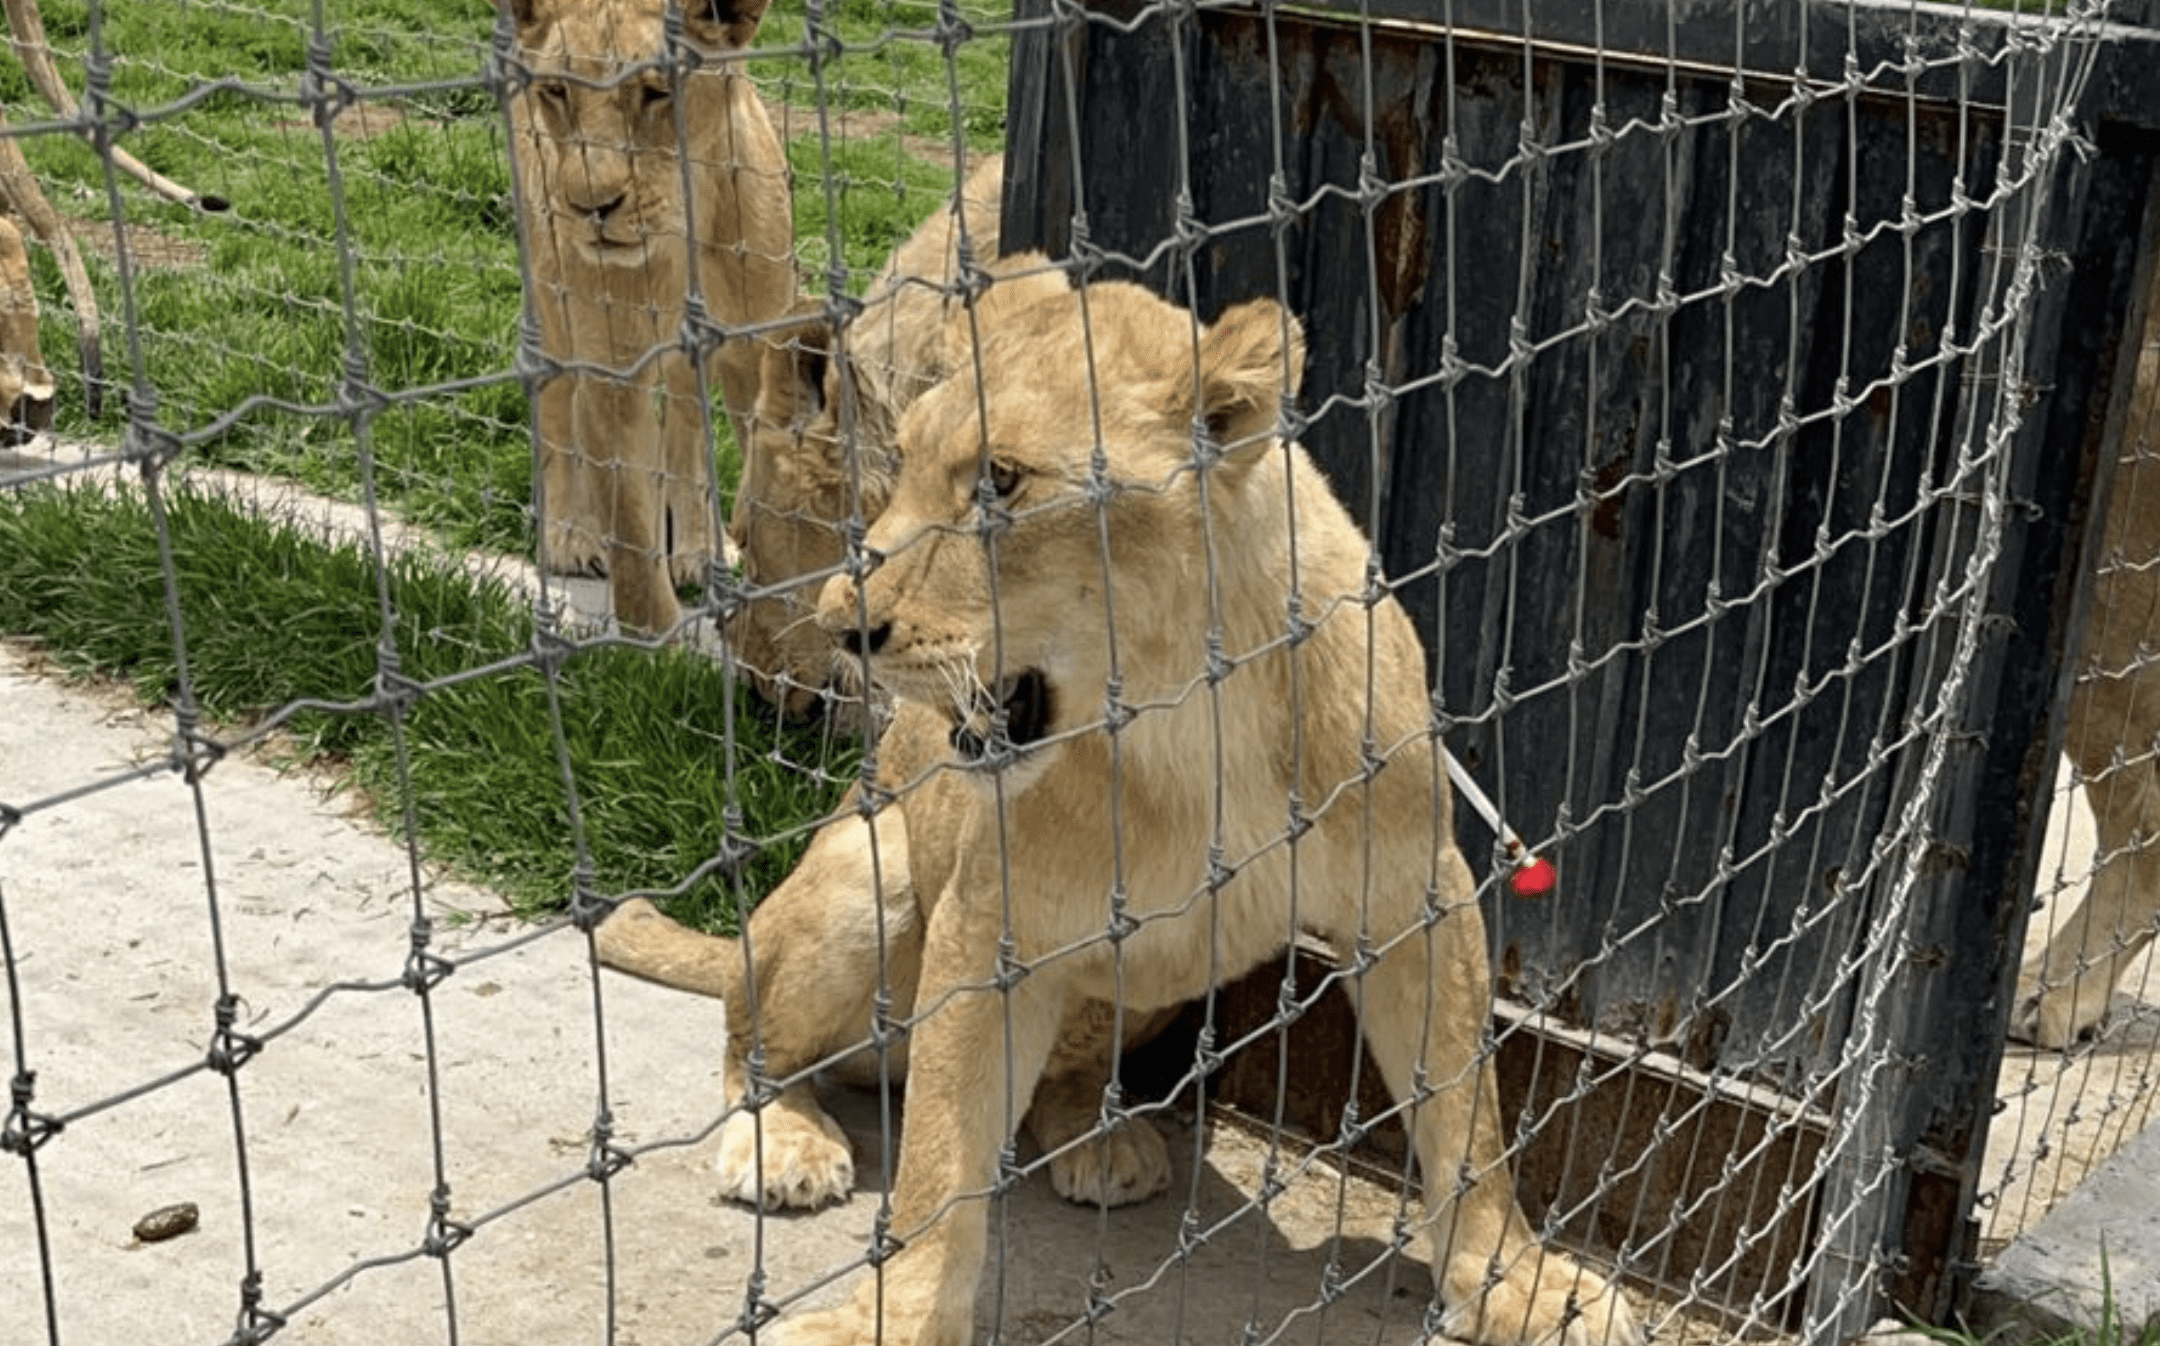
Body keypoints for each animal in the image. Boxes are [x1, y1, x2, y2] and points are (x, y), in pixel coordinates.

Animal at [501, 0, 799, 635]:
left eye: (659, 92)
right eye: (556, 91)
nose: (590, 205)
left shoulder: (756, 342)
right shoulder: (613, 366)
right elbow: (632, 532)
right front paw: (658, 645)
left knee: (686, 418)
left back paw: (700, 549)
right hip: (551, 309)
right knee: (559, 410)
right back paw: (571, 537)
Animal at [743, 254, 1632, 1346]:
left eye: (1002, 481)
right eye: (903, 459)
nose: (839, 622)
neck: (1190, 714)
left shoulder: (1418, 898)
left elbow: (1467, 1108)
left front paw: (1518, 1281)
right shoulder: (986, 927)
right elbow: (941, 1165)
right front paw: (889, 1318)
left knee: (1054, 1080)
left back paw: (1100, 1139)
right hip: (868, 882)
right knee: (753, 1039)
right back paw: (780, 1139)